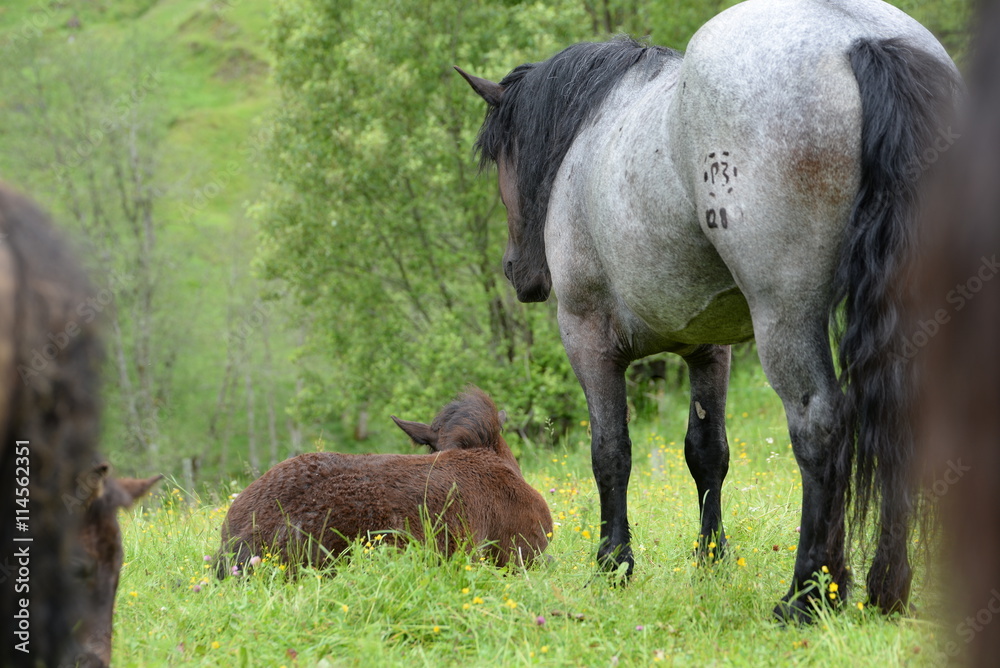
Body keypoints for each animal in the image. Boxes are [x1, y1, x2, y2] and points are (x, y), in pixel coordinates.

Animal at [457, 0, 959, 621]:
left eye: (503, 159)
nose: (516, 272)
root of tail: (862, 38)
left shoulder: (586, 335)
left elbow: (610, 452)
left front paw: (612, 563)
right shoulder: (708, 348)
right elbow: (706, 453)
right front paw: (711, 558)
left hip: (786, 317)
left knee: (819, 428)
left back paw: (807, 594)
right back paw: (887, 588)